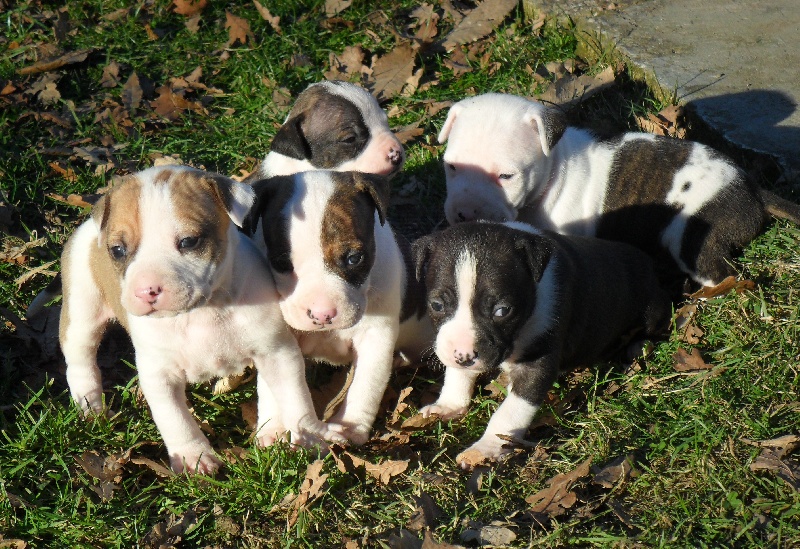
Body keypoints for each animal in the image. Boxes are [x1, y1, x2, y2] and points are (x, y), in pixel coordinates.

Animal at [57, 165, 342, 474]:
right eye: (118, 250)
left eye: (189, 242)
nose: (146, 290)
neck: (203, 311)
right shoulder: (160, 374)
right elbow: (175, 419)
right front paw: (192, 457)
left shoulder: (277, 353)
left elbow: (295, 397)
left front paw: (308, 438)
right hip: (82, 312)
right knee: (81, 360)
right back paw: (90, 406)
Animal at [438, 91, 800, 286]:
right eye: (451, 166)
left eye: (507, 176)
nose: (464, 213)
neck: (552, 173)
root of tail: (751, 187)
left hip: (692, 235)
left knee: (722, 275)